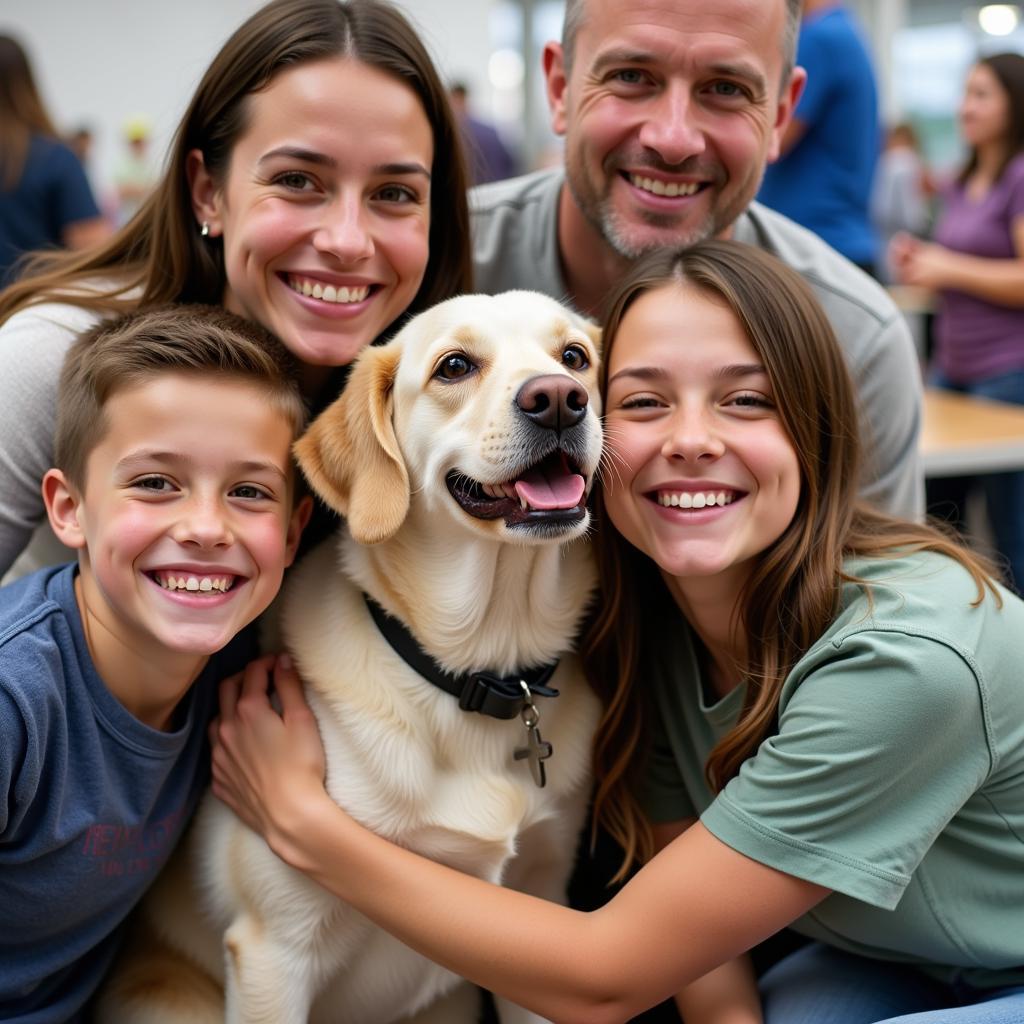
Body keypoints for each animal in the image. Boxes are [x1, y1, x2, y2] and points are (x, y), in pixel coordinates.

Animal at [99, 290, 602, 1024]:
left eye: (575, 357)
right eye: (455, 365)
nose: (561, 399)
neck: (477, 671)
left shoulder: (540, 912)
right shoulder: (274, 951)